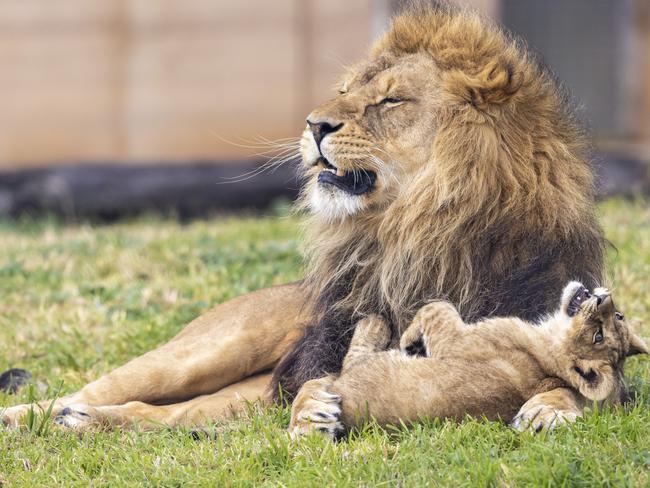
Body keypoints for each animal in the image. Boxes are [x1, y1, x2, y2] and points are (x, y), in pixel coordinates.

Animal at [3, 3, 604, 430]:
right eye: (345, 91)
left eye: (390, 101)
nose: (314, 124)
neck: (413, 234)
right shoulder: (326, 353)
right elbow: (328, 379)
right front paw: (312, 415)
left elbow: (581, 381)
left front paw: (552, 406)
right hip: (201, 353)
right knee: (94, 389)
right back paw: (35, 417)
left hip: (237, 396)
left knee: (163, 415)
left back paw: (80, 423)